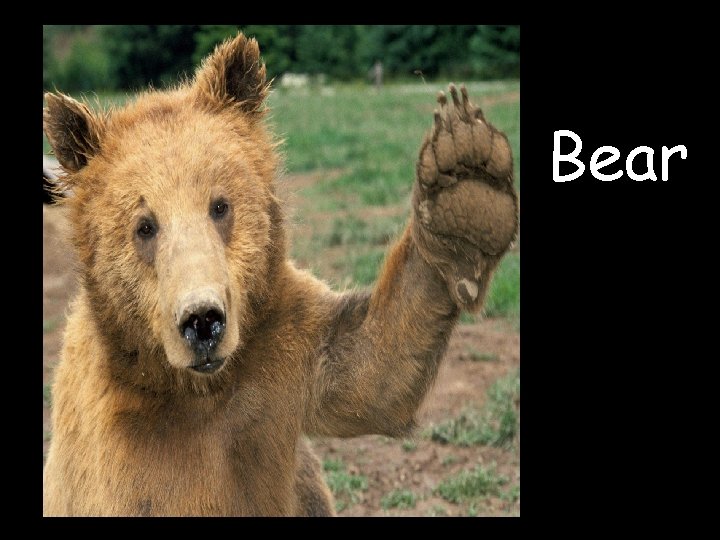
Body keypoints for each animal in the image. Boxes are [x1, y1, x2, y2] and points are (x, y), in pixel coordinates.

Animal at [42, 33, 518, 516]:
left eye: (220, 205)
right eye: (144, 225)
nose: (203, 320)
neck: (196, 389)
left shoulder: (279, 353)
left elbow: (372, 370)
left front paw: (465, 186)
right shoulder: (122, 448)